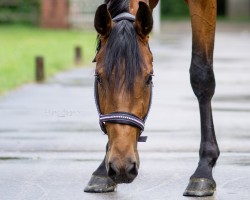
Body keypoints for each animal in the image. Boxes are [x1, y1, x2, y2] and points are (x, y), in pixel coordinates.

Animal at [84, 0, 219, 197]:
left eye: (149, 78)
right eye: (99, 78)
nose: (122, 166)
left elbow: (201, 75)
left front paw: (204, 170)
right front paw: (103, 171)